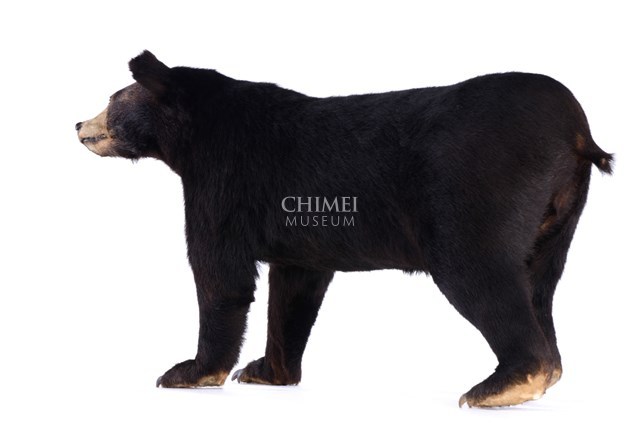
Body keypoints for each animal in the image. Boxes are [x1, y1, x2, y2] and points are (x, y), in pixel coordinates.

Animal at [76, 51, 612, 407]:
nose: (80, 125)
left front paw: (189, 371)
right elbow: (294, 287)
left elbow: (219, 273)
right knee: (539, 283)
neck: (190, 132)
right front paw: (267, 371)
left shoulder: (224, 178)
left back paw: (503, 384)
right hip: (560, 214)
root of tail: (577, 131)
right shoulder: (297, 234)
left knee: (479, 272)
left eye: (112, 98)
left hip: (476, 192)